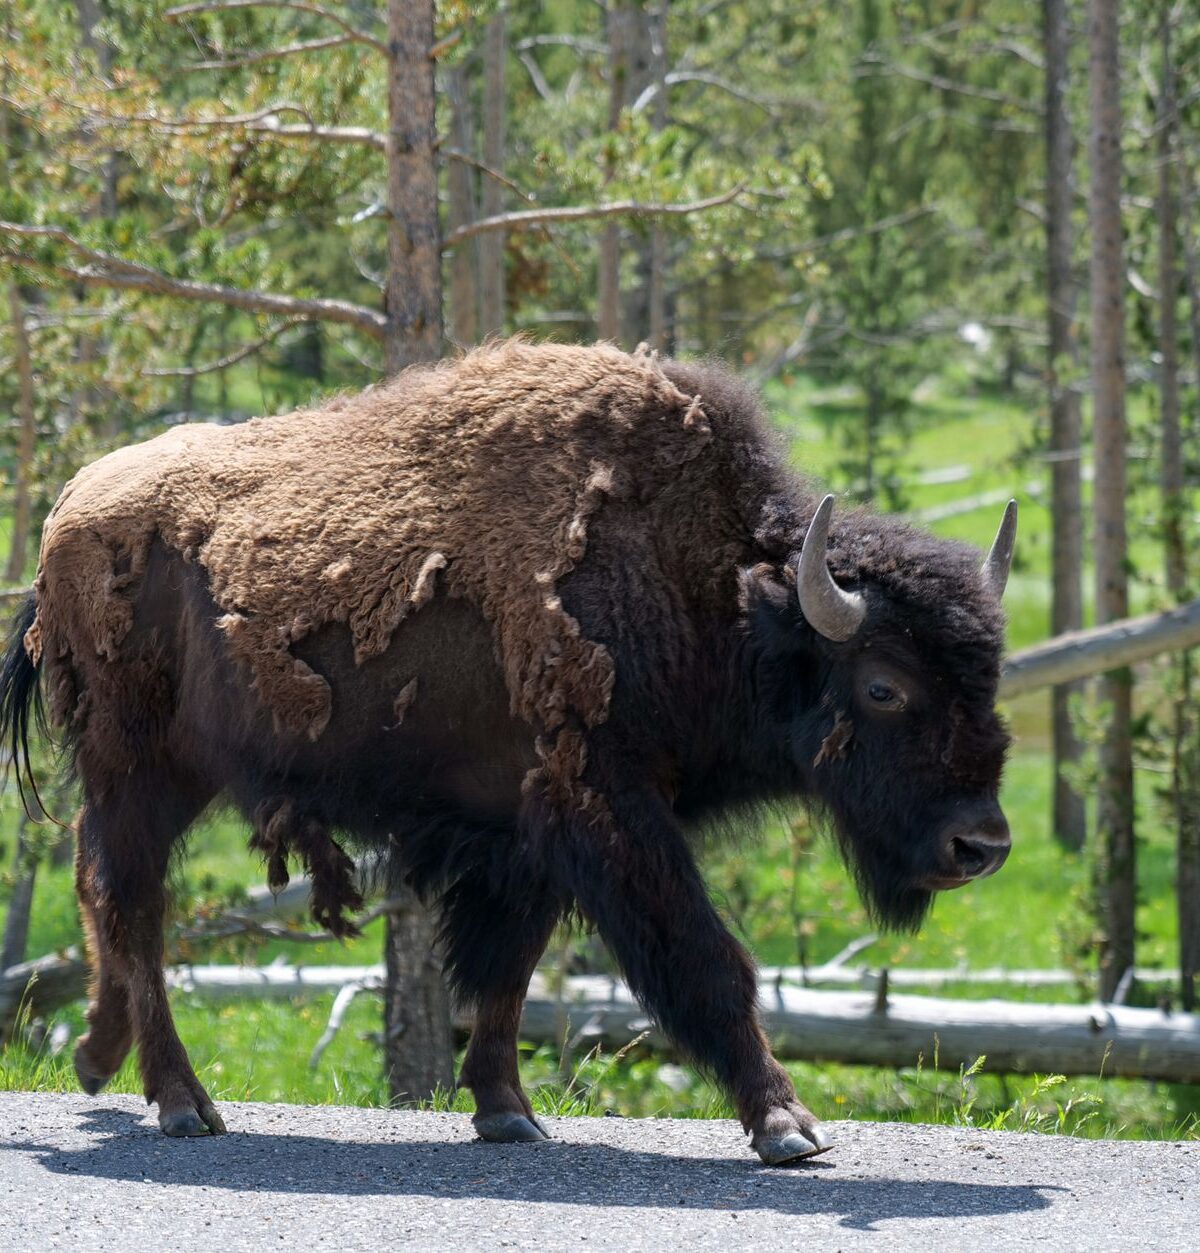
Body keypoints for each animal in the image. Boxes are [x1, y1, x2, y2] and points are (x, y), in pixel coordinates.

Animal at [0, 341, 1014, 1165]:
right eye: (883, 684)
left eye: (990, 672)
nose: (983, 845)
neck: (712, 589)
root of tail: (68, 514)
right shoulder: (607, 807)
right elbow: (706, 956)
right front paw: (787, 1125)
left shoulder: (523, 831)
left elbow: (506, 969)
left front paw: (507, 1112)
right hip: (140, 769)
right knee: (135, 905)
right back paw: (183, 1102)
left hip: (158, 781)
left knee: (98, 883)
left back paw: (98, 1057)